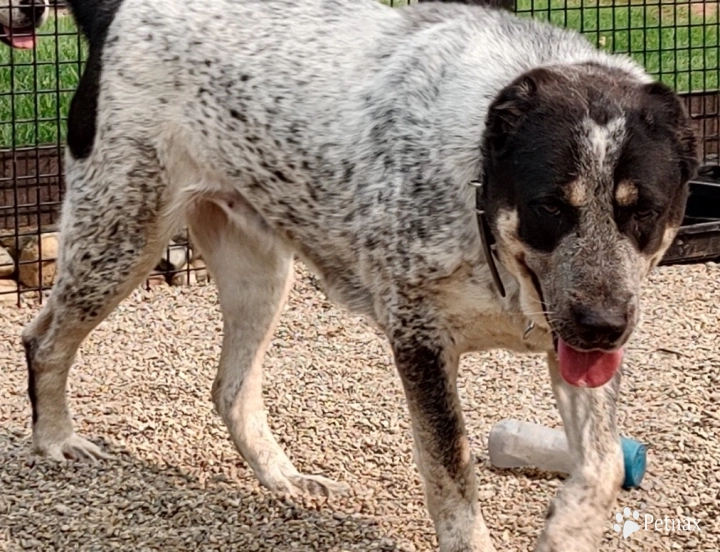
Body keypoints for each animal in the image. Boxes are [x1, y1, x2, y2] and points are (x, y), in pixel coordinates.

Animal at [22, 0, 696, 548]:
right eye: (550, 206)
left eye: (644, 211)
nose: (605, 325)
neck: (478, 178)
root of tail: (119, 11)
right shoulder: (420, 338)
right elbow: (452, 472)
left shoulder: (574, 335)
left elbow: (605, 466)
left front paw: (565, 532)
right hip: (121, 234)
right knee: (44, 339)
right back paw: (55, 439)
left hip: (259, 269)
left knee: (231, 388)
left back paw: (284, 478)